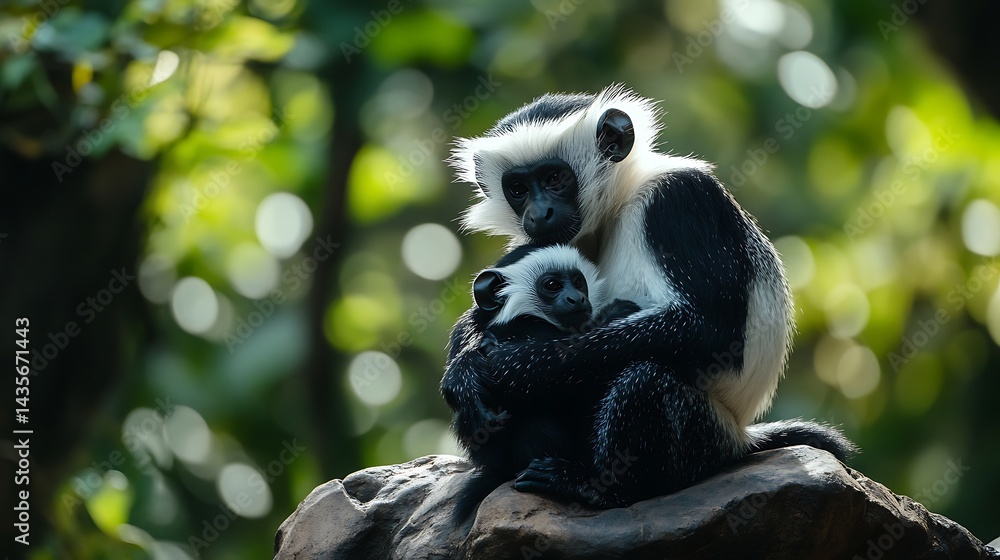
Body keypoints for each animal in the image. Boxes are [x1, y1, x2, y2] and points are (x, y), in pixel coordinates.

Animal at [442, 85, 856, 509]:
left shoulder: (679, 197)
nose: (539, 214)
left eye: (555, 178)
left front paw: (517, 365)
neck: (617, 205)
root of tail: (741, 437)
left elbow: (710, 331)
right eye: (518, 189)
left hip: (701, 440)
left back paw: (599, 487)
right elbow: (480, 313)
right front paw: (465, 371)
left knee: (644, 379)